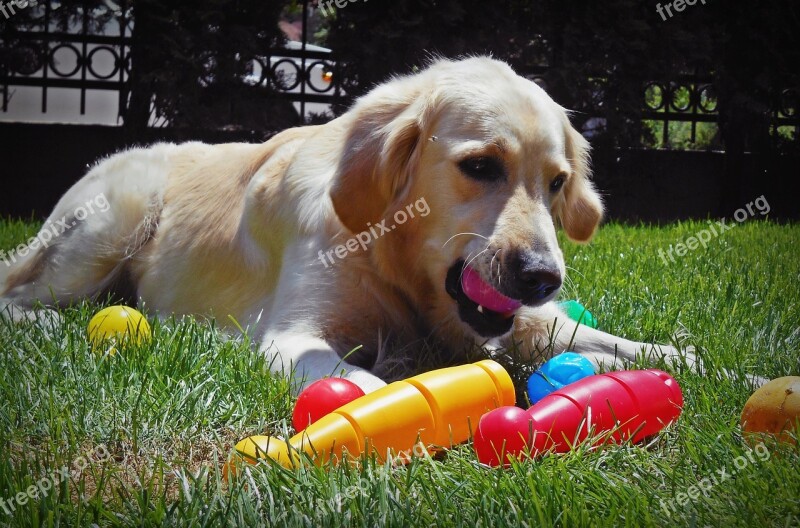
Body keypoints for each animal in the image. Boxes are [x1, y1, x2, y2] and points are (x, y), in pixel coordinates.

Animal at [0, 59, 692, 394]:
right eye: (480, 166)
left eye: (556, 182)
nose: (545, 277)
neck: (392, 257)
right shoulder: (293, 335)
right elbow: (355, 381)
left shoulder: (513, 321)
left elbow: (601, 339)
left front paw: (688, 359)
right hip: (116, 216)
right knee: (20, 295)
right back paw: (46, 324)